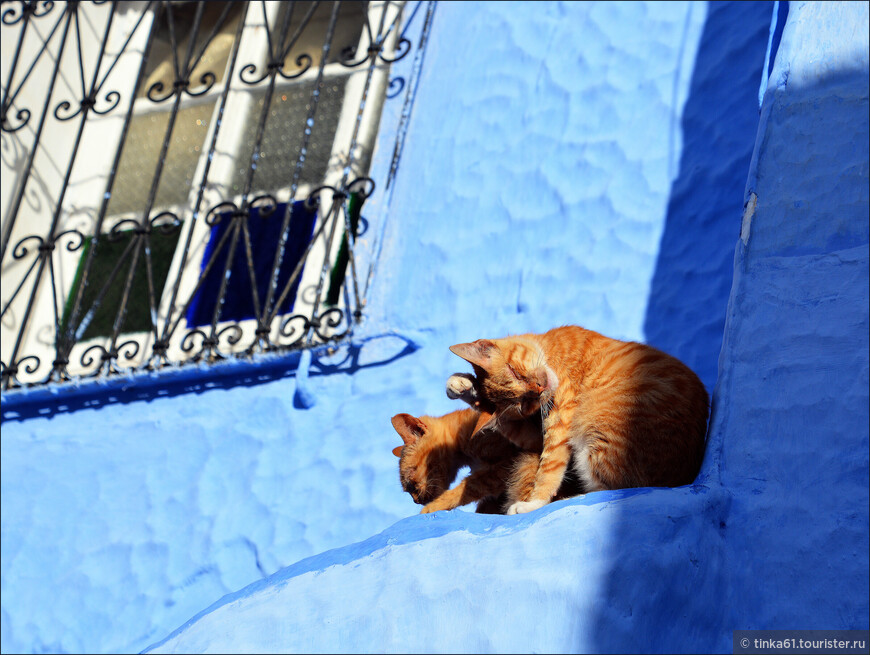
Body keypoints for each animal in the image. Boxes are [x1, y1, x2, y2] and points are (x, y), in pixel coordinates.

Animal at [454, 326, 712, 516]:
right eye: (522, 403)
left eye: (514, 372)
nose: (538, 390)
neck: (549, 346)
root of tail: (680, 478)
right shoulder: (538, 431)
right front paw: (466, 388)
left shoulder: (560, 421)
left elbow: (548, 469)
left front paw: (532, 503)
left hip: (594, 436)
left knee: (610, 489)